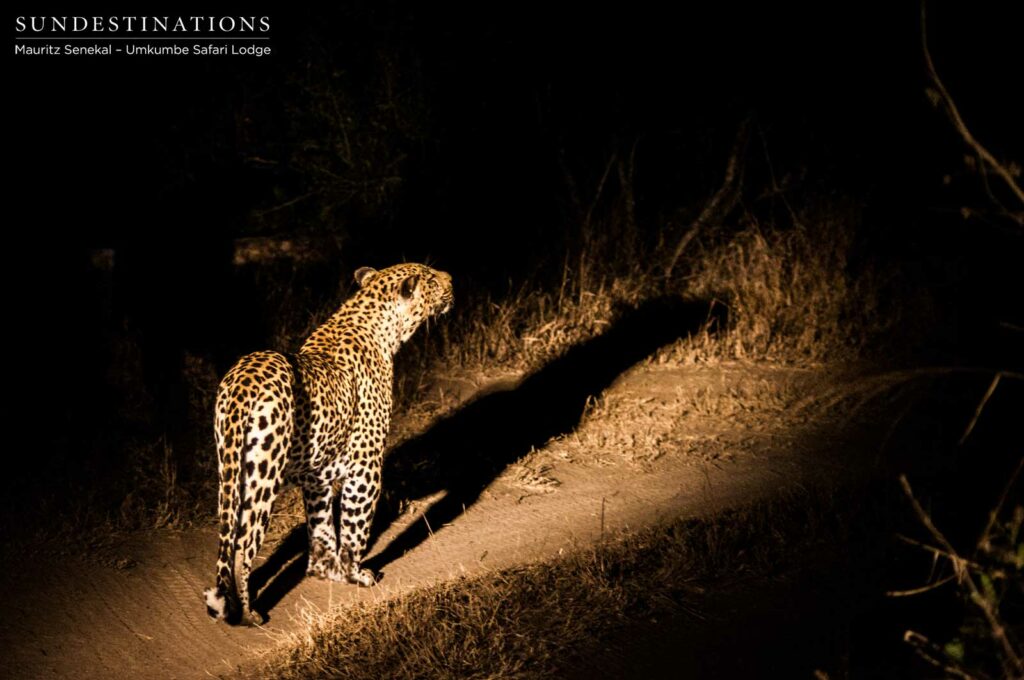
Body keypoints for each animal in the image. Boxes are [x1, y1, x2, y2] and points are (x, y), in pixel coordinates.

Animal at [204, 263, 453, 625]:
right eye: (431, 279)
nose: (450, 279)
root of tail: (242, 383)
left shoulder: (316, 476)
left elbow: (321, 526)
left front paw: (325, 570)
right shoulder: (366, 465)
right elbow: (355, 525)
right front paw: (354, 573)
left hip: (230, 468)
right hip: (262, 474)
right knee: (242, 544)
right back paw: (250, 613)